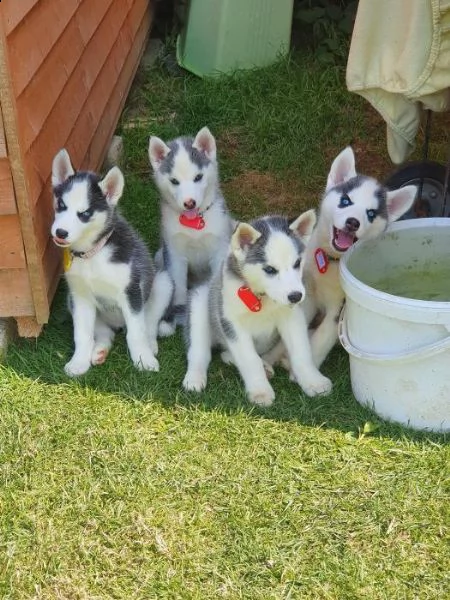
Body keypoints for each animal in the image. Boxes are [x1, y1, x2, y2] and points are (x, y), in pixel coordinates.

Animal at [51, 148, 172, 378]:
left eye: (85, 213)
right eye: (61, 205)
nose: (60, 233)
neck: (93, 255)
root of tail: (118, 325)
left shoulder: (131, 292)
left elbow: (137, 332)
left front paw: (143, 360)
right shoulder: (80, 297)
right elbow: (82, 334)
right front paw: (79, 362)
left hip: (161, 284)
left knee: (148, 324)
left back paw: (150, 346)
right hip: (74, 303)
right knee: (104, 334)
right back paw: (98, 351)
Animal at [149, 126, 234, 332]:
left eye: (198, 177)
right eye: (174, 181)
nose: (189, 203)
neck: (194, 224)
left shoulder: (219, 249)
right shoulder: (174, 252)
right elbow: (178, 285)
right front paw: (178, 310)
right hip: (160, 255)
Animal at [181, 211, 332, 408]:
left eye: (297, 263)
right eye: (270, 269)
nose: (296, 296)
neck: (263, 297)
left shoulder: (292, 318)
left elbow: (301, 352)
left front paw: (313, 381)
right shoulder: (232, 323)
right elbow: (249, 359)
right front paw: (260, 390)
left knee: (228, 353)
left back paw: (266, 365)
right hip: (200, 302)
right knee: (200, 352)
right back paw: (195, 377)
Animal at [300, 148, 416, 368]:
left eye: (370, 214)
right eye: (346, 201)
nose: (353, 222)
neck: (331, 259)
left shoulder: (339, 309)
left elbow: (321, 339)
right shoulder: (308, 293)